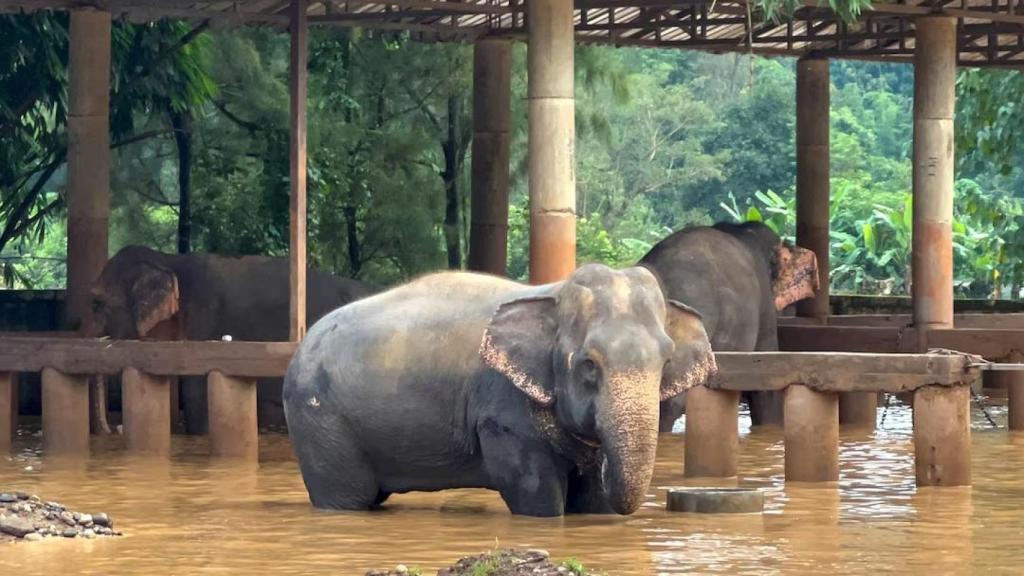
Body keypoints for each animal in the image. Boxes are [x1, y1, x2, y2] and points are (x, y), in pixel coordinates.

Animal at [283, 263, 717, 517]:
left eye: (665, 361)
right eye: (589, 364)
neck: (553, 293)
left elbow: (592, 501)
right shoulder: (501, 409)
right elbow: (535, 492)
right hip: (320, 421)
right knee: (348, 498)